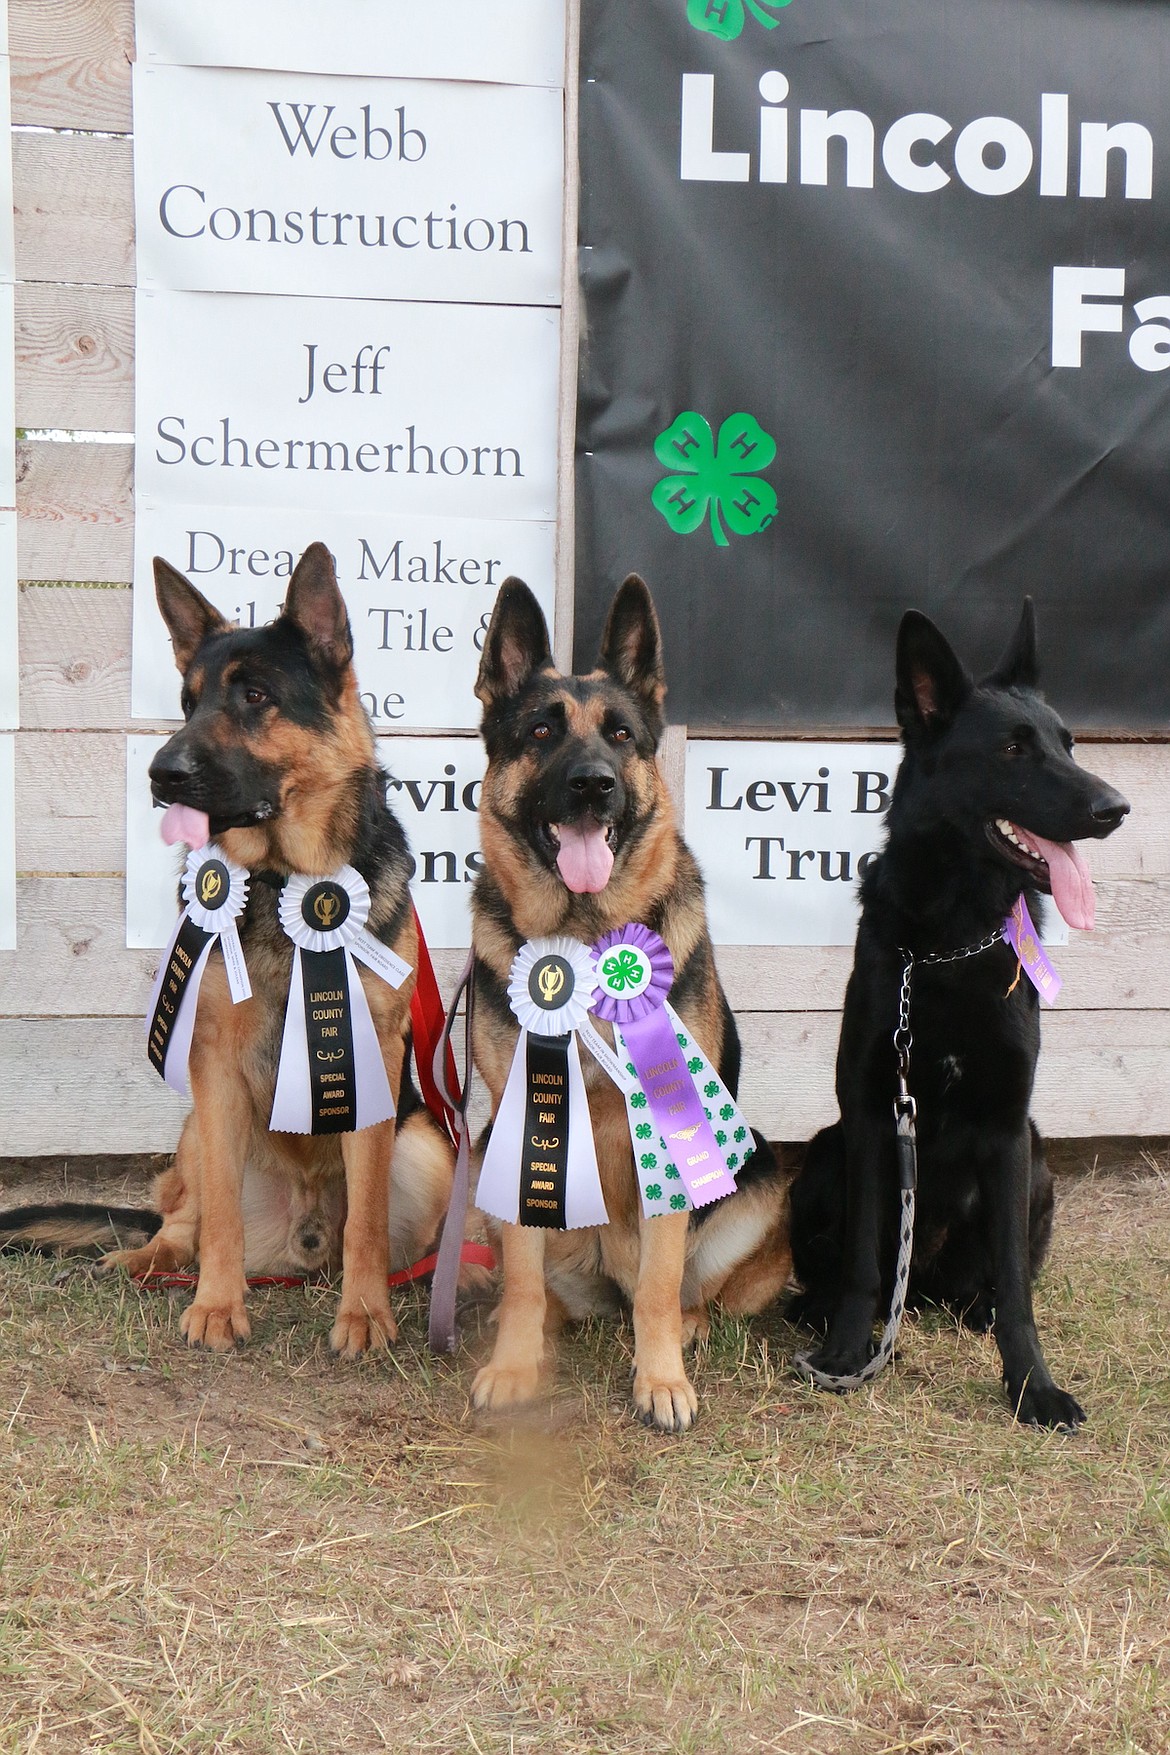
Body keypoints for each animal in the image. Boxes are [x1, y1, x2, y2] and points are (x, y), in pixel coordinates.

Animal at [0, 547, 452, 1354]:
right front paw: (216, 1305)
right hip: (197, 1130)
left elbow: (367, 1224)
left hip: (426, 1148)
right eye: (188, 702)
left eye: (255, 695)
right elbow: (218, 1223)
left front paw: (365, 1314)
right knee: (187, 1218)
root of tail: (303, 1237)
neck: (285, 885)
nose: (161, 775)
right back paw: (146, 1259)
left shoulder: (373, 1061)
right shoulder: (211, 1065)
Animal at [463, 575, 785, 1425]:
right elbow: (520, 1278)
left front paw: (661, 1378)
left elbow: (660, 1288)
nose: (593, 784)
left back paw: (689, 1326)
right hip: (484, 1159)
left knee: (680, 1286)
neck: (587, 937)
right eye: (542, 730)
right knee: (539, 1284)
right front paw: (513, 1365)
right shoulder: (523, 1122)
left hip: (757, 1175)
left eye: (621, 734)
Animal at [792, 603, 1129, 1425]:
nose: (1116, 809)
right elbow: (862, 1261)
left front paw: (1032, 1384)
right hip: (824, 1149)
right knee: (859, 1267)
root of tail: (925, 1292)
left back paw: (970, 1308)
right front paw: (845, 1352)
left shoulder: (1009, 1128)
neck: (950, 939)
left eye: (1070, 743)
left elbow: (1014, 1286)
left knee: (990, 1281)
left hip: (1038, 1158)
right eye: (1012, 749)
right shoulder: (872, 1114)